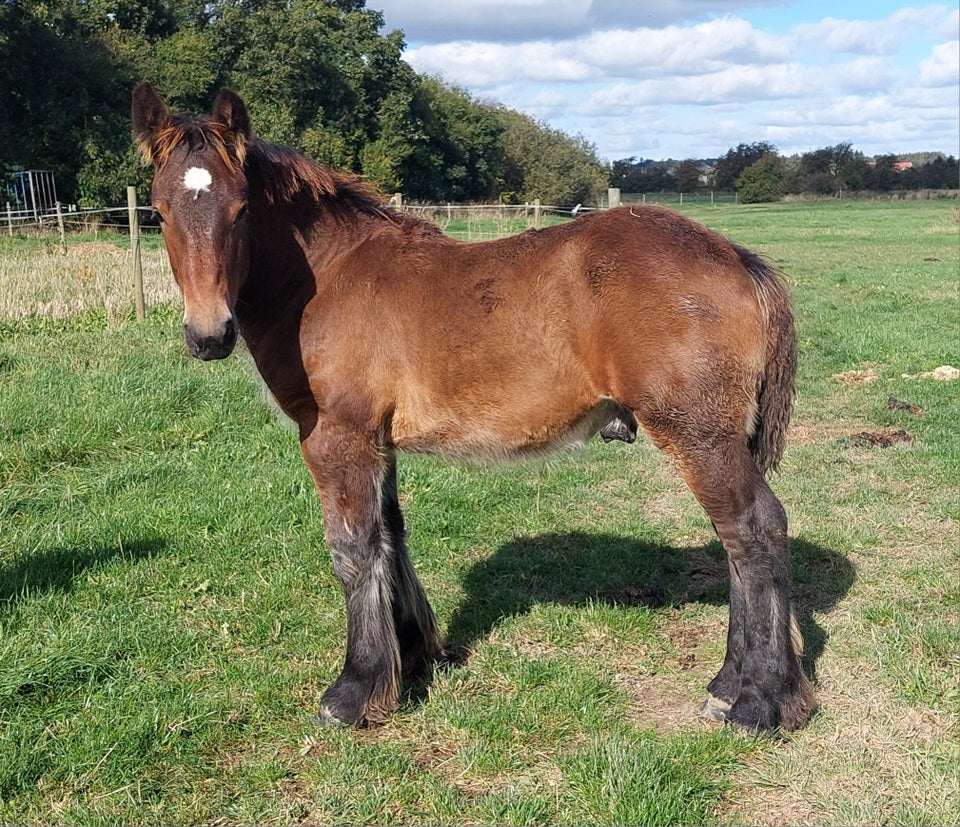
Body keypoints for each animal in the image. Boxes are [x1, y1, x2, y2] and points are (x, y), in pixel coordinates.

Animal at [131, 84, 812, 732]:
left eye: (242, 209)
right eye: (159, 213)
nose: (209, 335)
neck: (326, 277)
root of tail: (736, 258)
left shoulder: (337, 438)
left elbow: (352, 549)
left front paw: (354, 691)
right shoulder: (378, 442)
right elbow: (389, 535)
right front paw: (412, 657)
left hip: (698, 435)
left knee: (754, 530)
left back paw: (758, 701)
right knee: (736, 542)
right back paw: (727, 684)